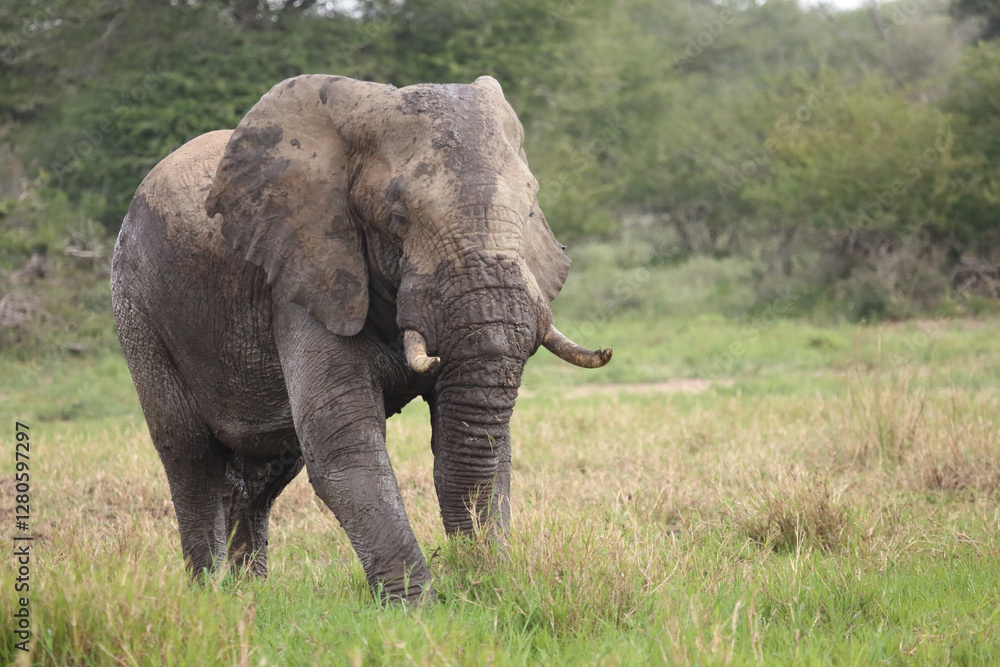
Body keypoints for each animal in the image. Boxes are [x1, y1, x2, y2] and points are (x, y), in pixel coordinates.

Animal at [111, 74, 611, 604]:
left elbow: (483, 442)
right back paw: (209, 596)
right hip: (138, 310)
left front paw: (484, 587)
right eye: (397, 215)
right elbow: (342, 441)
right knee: (190, 456)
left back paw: (252, 597)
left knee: (266, 470)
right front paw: (418, 608)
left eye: (532, 206)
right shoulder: (305, 275)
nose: (469, 579)